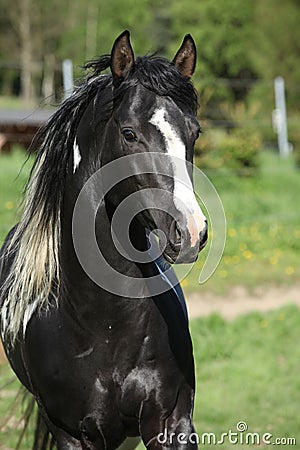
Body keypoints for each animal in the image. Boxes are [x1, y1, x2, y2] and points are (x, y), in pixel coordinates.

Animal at [0, 31, 207, 450]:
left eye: (194, 133)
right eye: (129, 133)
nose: (192, 231)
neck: (105, 324)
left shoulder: (171, 424)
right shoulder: (71, 433)